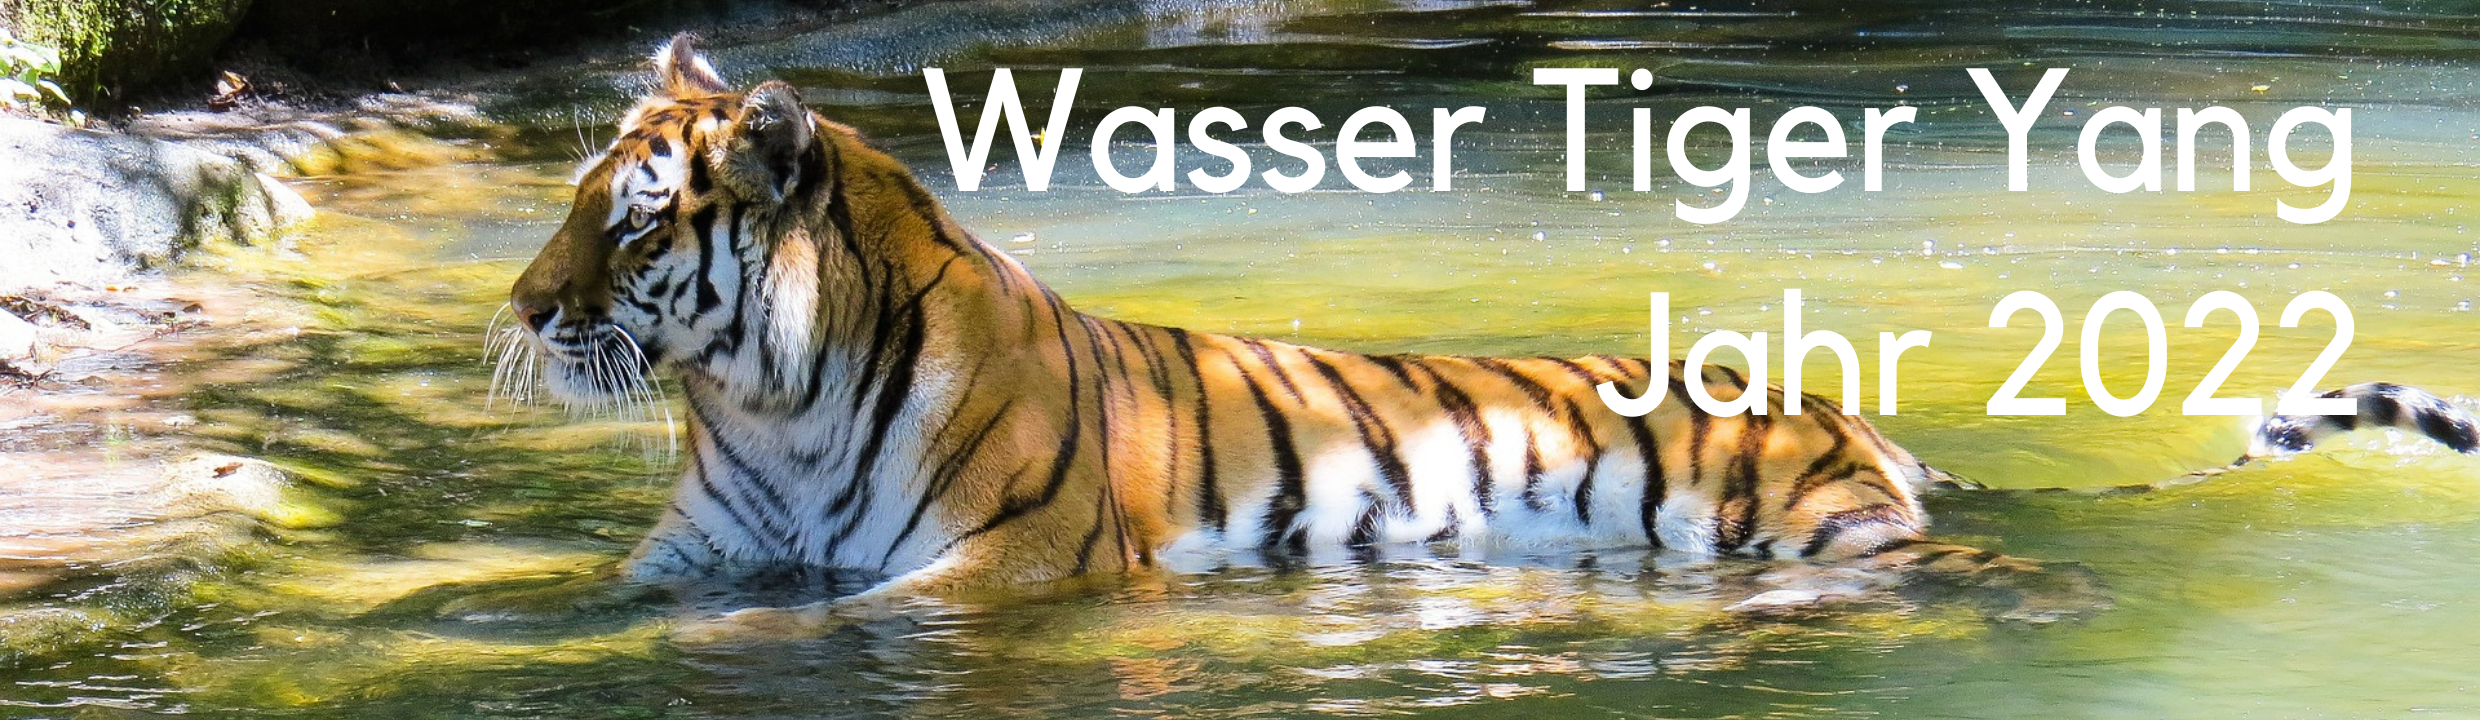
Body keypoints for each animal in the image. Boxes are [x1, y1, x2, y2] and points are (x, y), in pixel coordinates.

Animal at [499, 34, 2480, 634]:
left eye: (632, 219)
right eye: (574, 202)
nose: (519, 309)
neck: (767, 404)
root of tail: (1853, 416)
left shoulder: (1006, 566)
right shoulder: (697, 551)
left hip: (1807, 536)